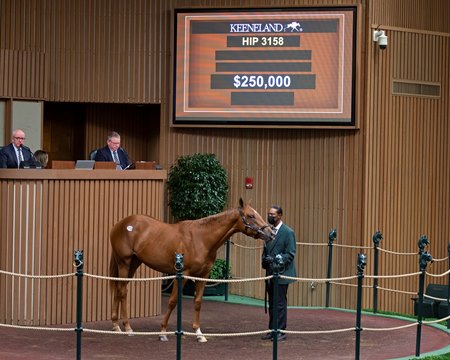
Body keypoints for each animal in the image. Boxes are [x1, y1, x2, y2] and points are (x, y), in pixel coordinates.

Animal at [109, 198, 274, 342]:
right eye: (251, 215)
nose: (271, 233)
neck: (201, 239)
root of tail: (120, 224)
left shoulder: (203, 275)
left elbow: (198, 302)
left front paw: (199, 333)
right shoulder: (183, 274)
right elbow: (173, 301)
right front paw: (163, 332)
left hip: (134, 263)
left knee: (118, 288)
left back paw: (116, 326)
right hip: (124, 262)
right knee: (122, 291)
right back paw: (128, 328)